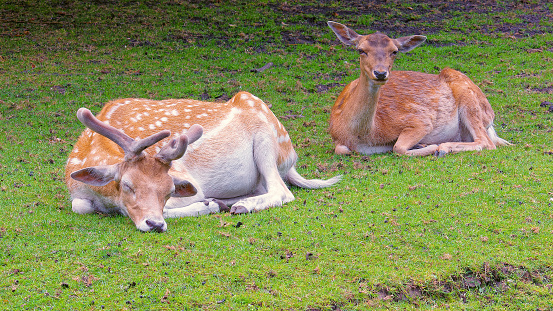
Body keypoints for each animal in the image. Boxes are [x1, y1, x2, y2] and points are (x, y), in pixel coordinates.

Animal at [64, 91, 340, 233]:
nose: (155, 224)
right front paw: (214, 203)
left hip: (266, 143)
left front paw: (208, 205)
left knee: (282, 191)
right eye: (127, 185)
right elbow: (80, 206)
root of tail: (291, 157)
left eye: (170, 190)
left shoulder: (185, 179)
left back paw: (240, 206)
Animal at [326, 21, 512, 157]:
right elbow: (341, 150)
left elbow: (398, 148)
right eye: (361, 50)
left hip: (470, 100)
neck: (363, 135)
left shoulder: (419, 121)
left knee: (486, 142)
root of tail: (490, 118)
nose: (380, 73)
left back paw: (443, 148)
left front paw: (430, 147)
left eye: (394, 51)